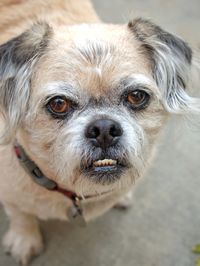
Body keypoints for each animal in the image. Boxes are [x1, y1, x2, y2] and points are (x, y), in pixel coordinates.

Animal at [0, 0, 199, 266]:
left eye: (136, 96)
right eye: (58, 104)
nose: (104, 129)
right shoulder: (11, 197)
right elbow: (20, 215)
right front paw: (25, 241)